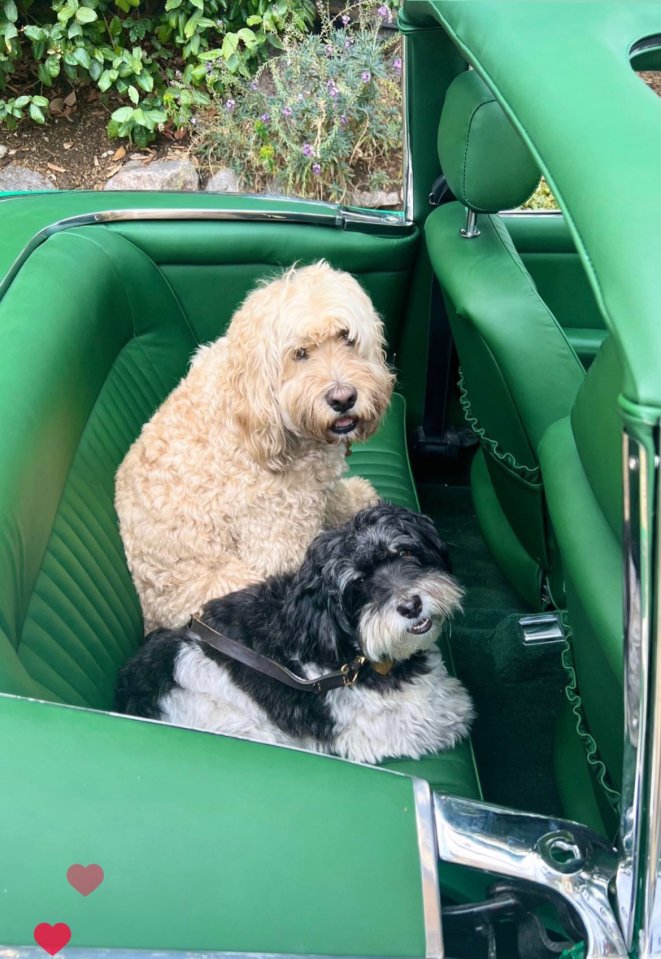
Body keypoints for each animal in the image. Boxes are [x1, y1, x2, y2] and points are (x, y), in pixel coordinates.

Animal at [116, 266, 394, 632]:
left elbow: (331, 496)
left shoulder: (314, 487)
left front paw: (356, 497)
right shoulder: (275, 538)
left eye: (346, 337)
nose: (343, 398)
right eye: (299, 353)